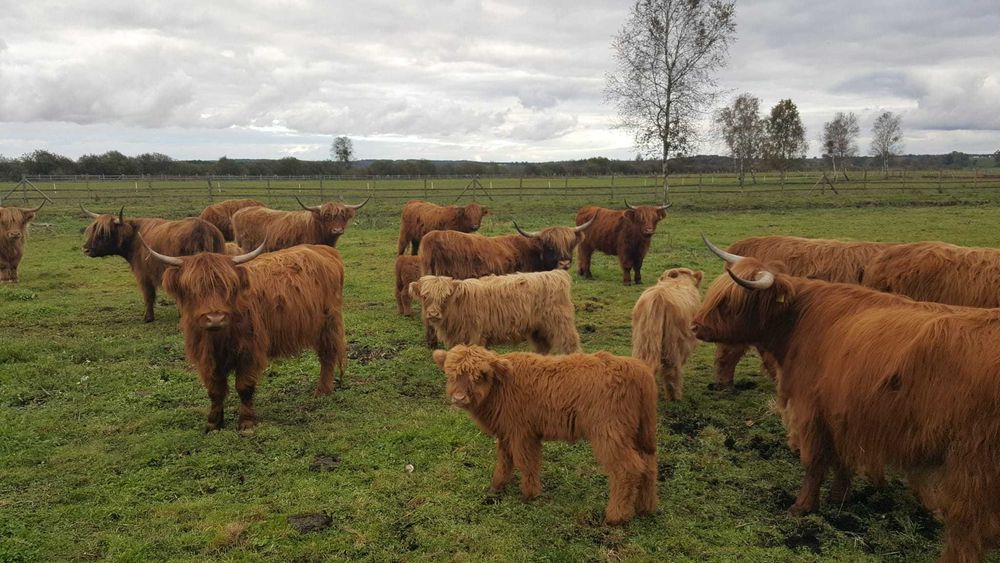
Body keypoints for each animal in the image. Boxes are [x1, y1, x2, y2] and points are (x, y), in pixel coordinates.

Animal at [81, 206, 225, 322]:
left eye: (104, 233)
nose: (86, 249)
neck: (133, 238)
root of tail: (202, 228)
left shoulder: (143, 274)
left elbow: (148, 295)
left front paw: (148, 317)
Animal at [143, 240, 347, 432]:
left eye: (227, 287)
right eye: (193, 289)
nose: (215, 318)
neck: (218, 338)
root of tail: (323, 249)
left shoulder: (249, 351)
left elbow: (244, 387)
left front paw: (246, 422)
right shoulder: (206, 357)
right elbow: (215, 390)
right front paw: (213, 423)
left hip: (327, 324)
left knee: (327, 355)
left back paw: (322, 390)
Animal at [409, 270, 581, 354]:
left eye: (445, 297)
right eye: (425, 296)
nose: (433, 314)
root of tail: (555, 273)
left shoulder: (475, 336)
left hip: (560, 324)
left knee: (570, 345)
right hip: (538, 330)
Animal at [432, 344, 658, 525]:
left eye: (481, 376)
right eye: (451, 374)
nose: (459, 398)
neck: (500, 388)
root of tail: (635, 367)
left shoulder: (522, 433)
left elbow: (526, 462)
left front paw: (529, 495)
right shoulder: (506, 433)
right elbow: (505, 460)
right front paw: (496, 486)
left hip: (610, 433)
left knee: (627, 469)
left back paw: (616, 517)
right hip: (637, 434)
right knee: (648, 465)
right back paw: (645, 507)